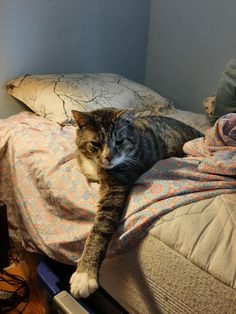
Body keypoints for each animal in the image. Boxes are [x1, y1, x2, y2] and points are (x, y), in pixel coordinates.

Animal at [68, 106, 203, 298]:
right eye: (96, 143)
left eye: (120, 141)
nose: (109, 157)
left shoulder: (116, 187)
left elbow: (100, 228)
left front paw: (84, 276)